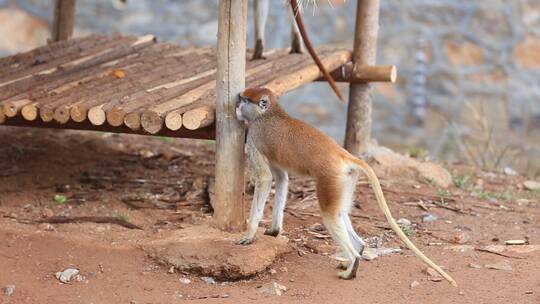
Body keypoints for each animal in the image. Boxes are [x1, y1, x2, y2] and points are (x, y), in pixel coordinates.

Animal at [235, 87, 456, 284]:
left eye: (244, 100)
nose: (236, 106)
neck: (270, 112)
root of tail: (342, 154)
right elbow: (281, 178)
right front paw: (274, 230)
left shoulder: (254, 136)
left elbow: (265, 178)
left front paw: (249, 234)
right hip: (346, 180)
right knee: (340, 213)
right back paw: (356, 251)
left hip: (331, 179)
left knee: (330, 215)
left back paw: (352, 264)